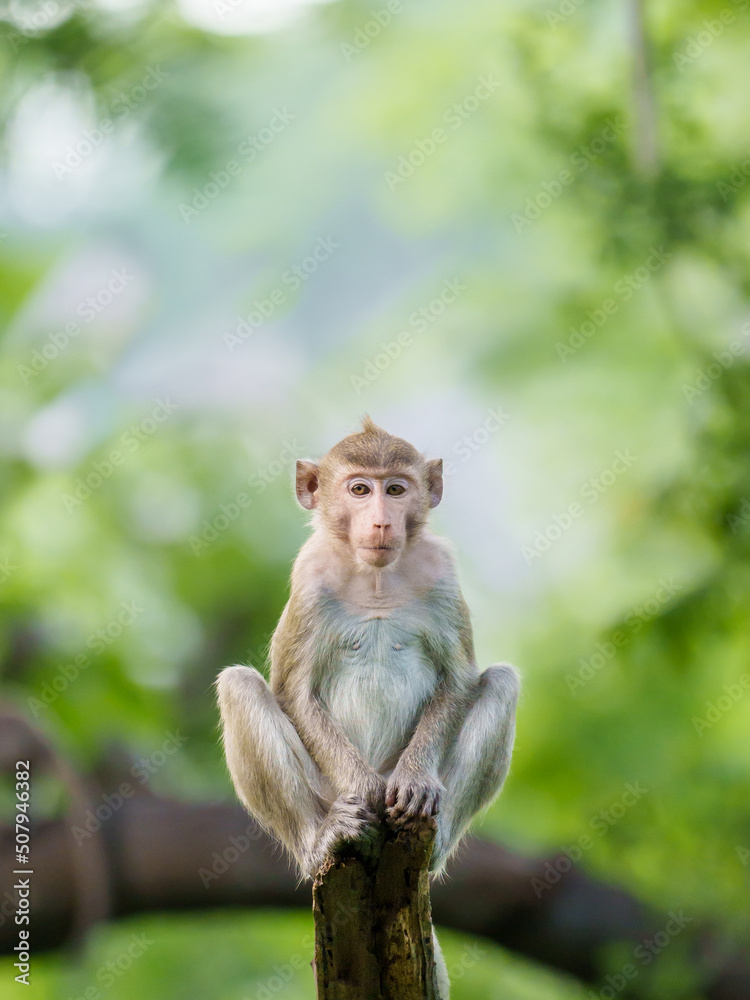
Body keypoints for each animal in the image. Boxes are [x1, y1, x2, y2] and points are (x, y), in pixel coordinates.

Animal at [216, 417, 519, 884]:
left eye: (395, 490)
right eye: (360, 489)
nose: (380, 523)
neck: (375, 578)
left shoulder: (441, 571)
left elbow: (458, 679)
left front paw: (416, 779)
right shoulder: (310, 577)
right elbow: (295, 691)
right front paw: (362, 789)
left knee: (502, 683)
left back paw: (436, 841)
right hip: (326, 789)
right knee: (238, 685)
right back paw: (321, 839)